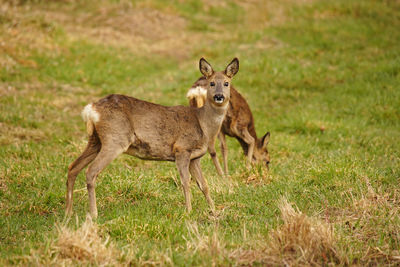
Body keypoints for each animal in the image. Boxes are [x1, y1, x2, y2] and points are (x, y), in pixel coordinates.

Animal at [65, 57, 239, 219]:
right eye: (211, 83)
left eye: (226, 83)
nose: (219, 96)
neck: (203, 124)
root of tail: (91, 110)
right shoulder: (182, 149)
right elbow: (185, 183)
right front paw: (188, 212)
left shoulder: (195, 158)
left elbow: (204, 185)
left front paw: (214, 211)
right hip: (114, 139)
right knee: (91, 171)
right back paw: (93, 213)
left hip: (95, 140)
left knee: (73, 167)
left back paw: (68, 211)